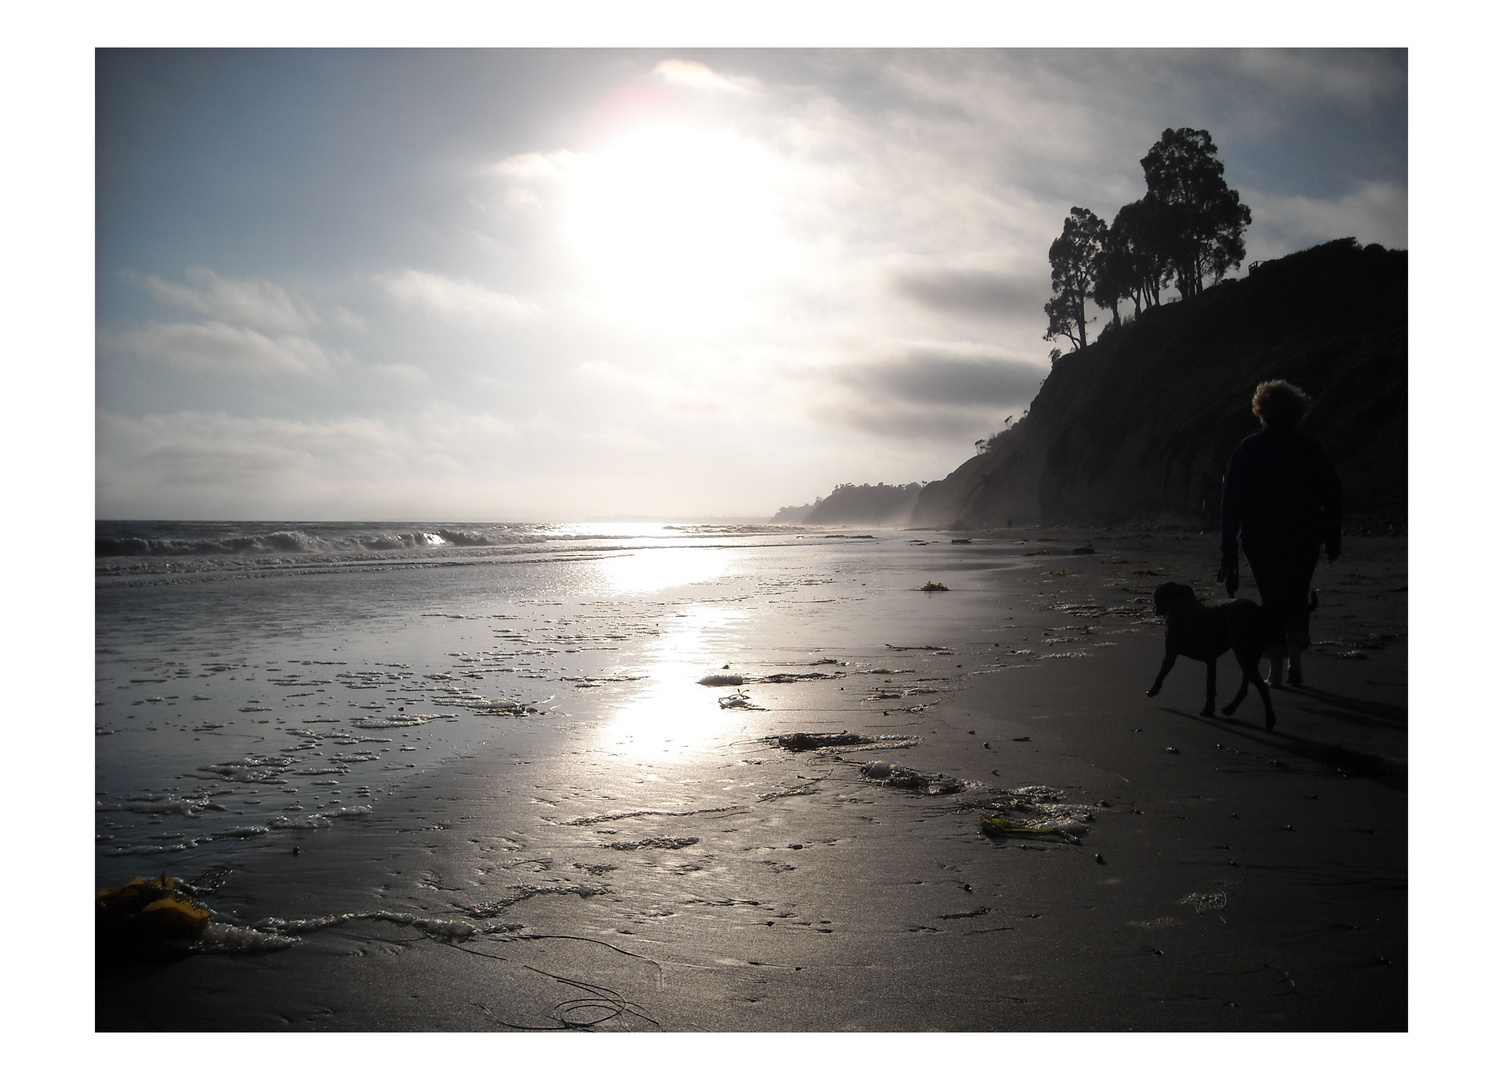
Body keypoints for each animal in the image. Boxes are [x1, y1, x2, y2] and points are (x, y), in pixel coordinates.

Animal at [1148, 585, 1280, 730]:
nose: (1153, 608)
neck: (1178, 598)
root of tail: (1257, 610)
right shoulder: (1210, 660)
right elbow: (1210, 686)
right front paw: (1208, 710)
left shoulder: (1171, 653)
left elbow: (1162, 672)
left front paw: (1153, 690)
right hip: (1251, 655)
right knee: (1246, 682)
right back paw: (1230, 708)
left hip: (1243, 652)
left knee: (1261, 686)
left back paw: (1269, 720)